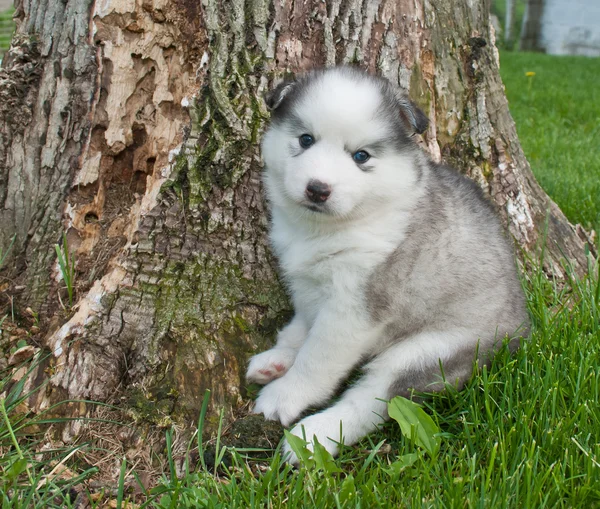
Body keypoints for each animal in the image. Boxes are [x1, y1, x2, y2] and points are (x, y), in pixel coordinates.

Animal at [246, 65, 528, 462]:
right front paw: (280, 356)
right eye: (305, 139)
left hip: (429, 352)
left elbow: (317, 359)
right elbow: (300, 328)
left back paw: (315, 436)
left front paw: (287, 395)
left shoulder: (355, 308)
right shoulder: (307, 285)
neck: (327, 229)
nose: (318, 189)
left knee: (374, 401)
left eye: (361, 156)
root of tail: (521, 329)